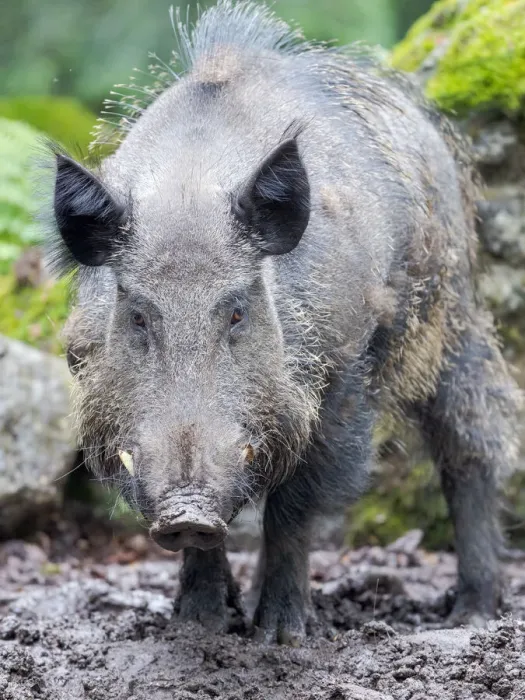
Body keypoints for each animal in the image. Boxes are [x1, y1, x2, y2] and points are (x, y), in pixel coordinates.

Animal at [47, 0, 522, 644]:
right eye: (138, 314)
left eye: (237, 310)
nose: (188, 510)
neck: (189, 190)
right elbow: (218, 538)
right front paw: (199, 630)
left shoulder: (345, 368)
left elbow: (295, 506)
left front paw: (284, 637)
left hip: (451, 316)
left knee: (472, 444)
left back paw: (470, 613)